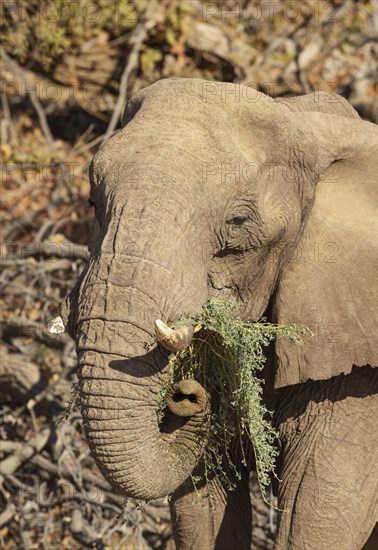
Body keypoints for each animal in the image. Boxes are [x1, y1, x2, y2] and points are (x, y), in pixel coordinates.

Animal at [57, 78, 376, 550]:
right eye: (94, 203)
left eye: (239, 221)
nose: (185, 393)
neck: (311, 130)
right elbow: (201, 503)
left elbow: (321, 507)